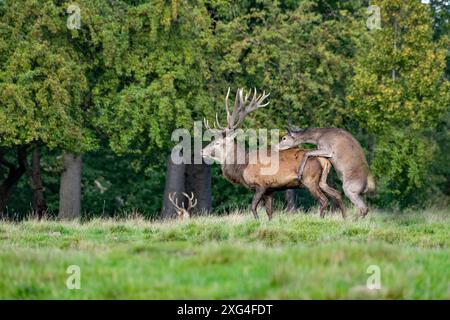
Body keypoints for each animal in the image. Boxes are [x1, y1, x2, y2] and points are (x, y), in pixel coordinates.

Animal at [200, 89, 344, 221]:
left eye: (217, 142)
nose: (202, 151)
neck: (243, 166)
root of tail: (324, 160)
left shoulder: (261, 185)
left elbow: (253, 207)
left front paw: (257, 221)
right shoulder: (269, 190)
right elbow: (269, 212)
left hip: (310, 179)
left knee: (324, 201)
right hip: (321, 181)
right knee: (337, 194)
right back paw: (345, 217)